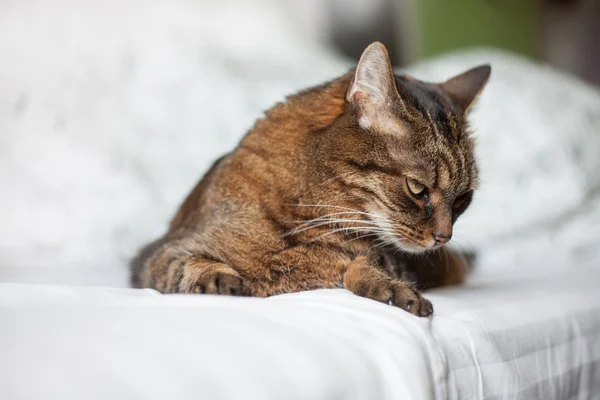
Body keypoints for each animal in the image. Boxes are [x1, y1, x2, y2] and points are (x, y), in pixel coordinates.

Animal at [130, 42, 488, 318]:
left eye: (462, 198)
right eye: (417, 188)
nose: (443, 237)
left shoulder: (390, 259)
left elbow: (363, 266)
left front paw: (388, 286)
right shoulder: (157, 254)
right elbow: (188, 266)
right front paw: (219, 279)